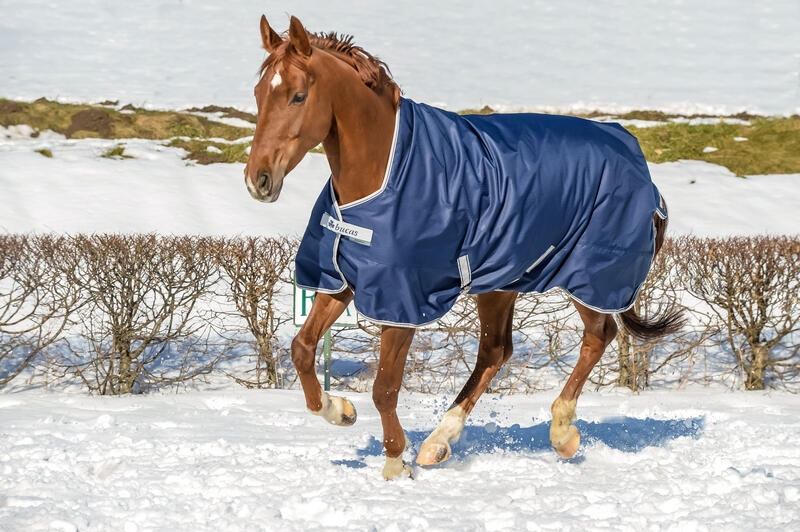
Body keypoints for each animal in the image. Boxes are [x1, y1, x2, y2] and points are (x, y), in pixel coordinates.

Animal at [244, 15, 684, 480]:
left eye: (298, 95)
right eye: (258, 94)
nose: (258, 180)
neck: (385, 168)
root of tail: (639, 164)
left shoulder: (402, 301)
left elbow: (384, 388)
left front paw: (395, 463)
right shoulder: (341, 280)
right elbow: (302, 349)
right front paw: (340, 410)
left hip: (588, 276)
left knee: (597, 336)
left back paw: (562, 432)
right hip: (503, 280)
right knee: (496, 351)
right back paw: (439, 442)